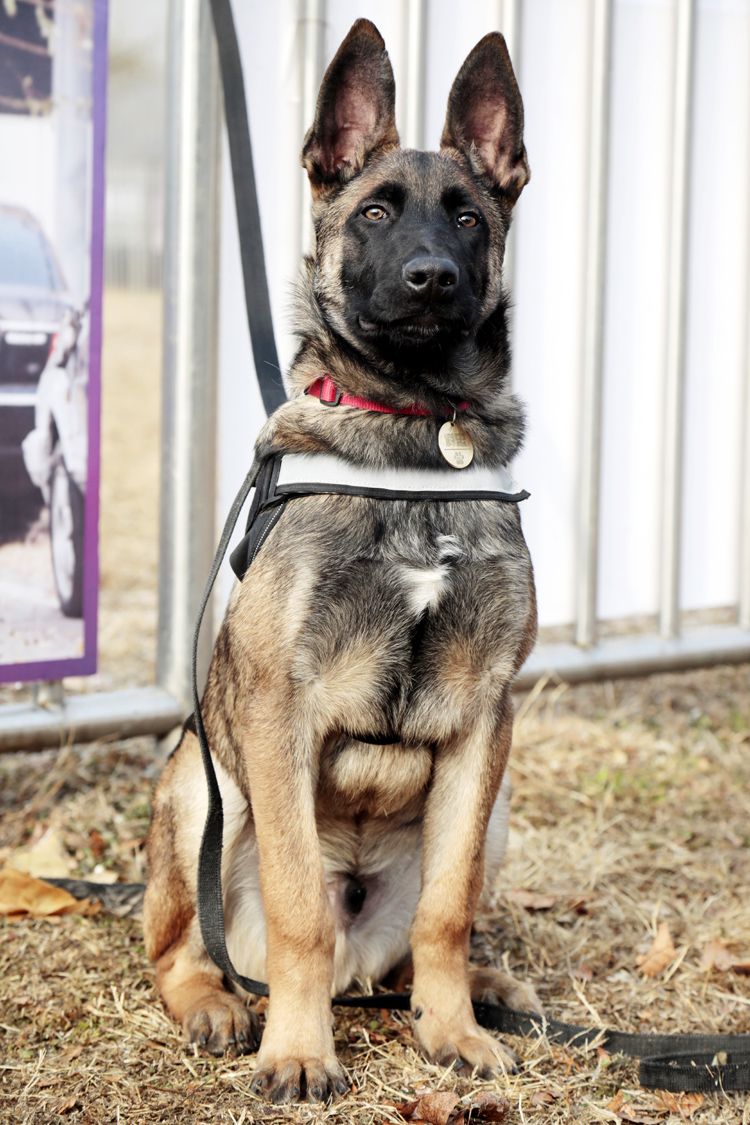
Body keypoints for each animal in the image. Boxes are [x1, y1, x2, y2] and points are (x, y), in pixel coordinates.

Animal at [142, 15, 539, 1107]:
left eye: (467, 216)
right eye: (373, 213)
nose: (431, 278)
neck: (414, 435)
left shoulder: (487, 716)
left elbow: (447, 909)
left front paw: (451, 1029)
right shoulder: (282, 706)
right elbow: (297, 910)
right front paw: (299, 1049)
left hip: (492, 810)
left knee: (415, 942)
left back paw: (482, 988)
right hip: (199, 783)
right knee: (185, 947)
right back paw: (221, 1005)